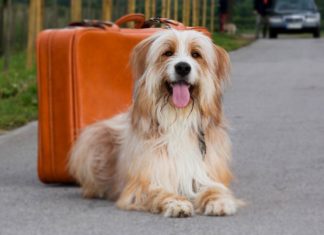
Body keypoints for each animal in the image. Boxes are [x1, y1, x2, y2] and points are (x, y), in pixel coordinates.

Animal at [68, 29, 240, 218]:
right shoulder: (144, 181)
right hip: (94, 141)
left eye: (196, 54)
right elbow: (159, 192)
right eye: (168, 52)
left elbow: (213, 188)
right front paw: (176, 203)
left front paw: (219, 201)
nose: (182, 67)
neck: (178, 117)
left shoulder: (204, 173)